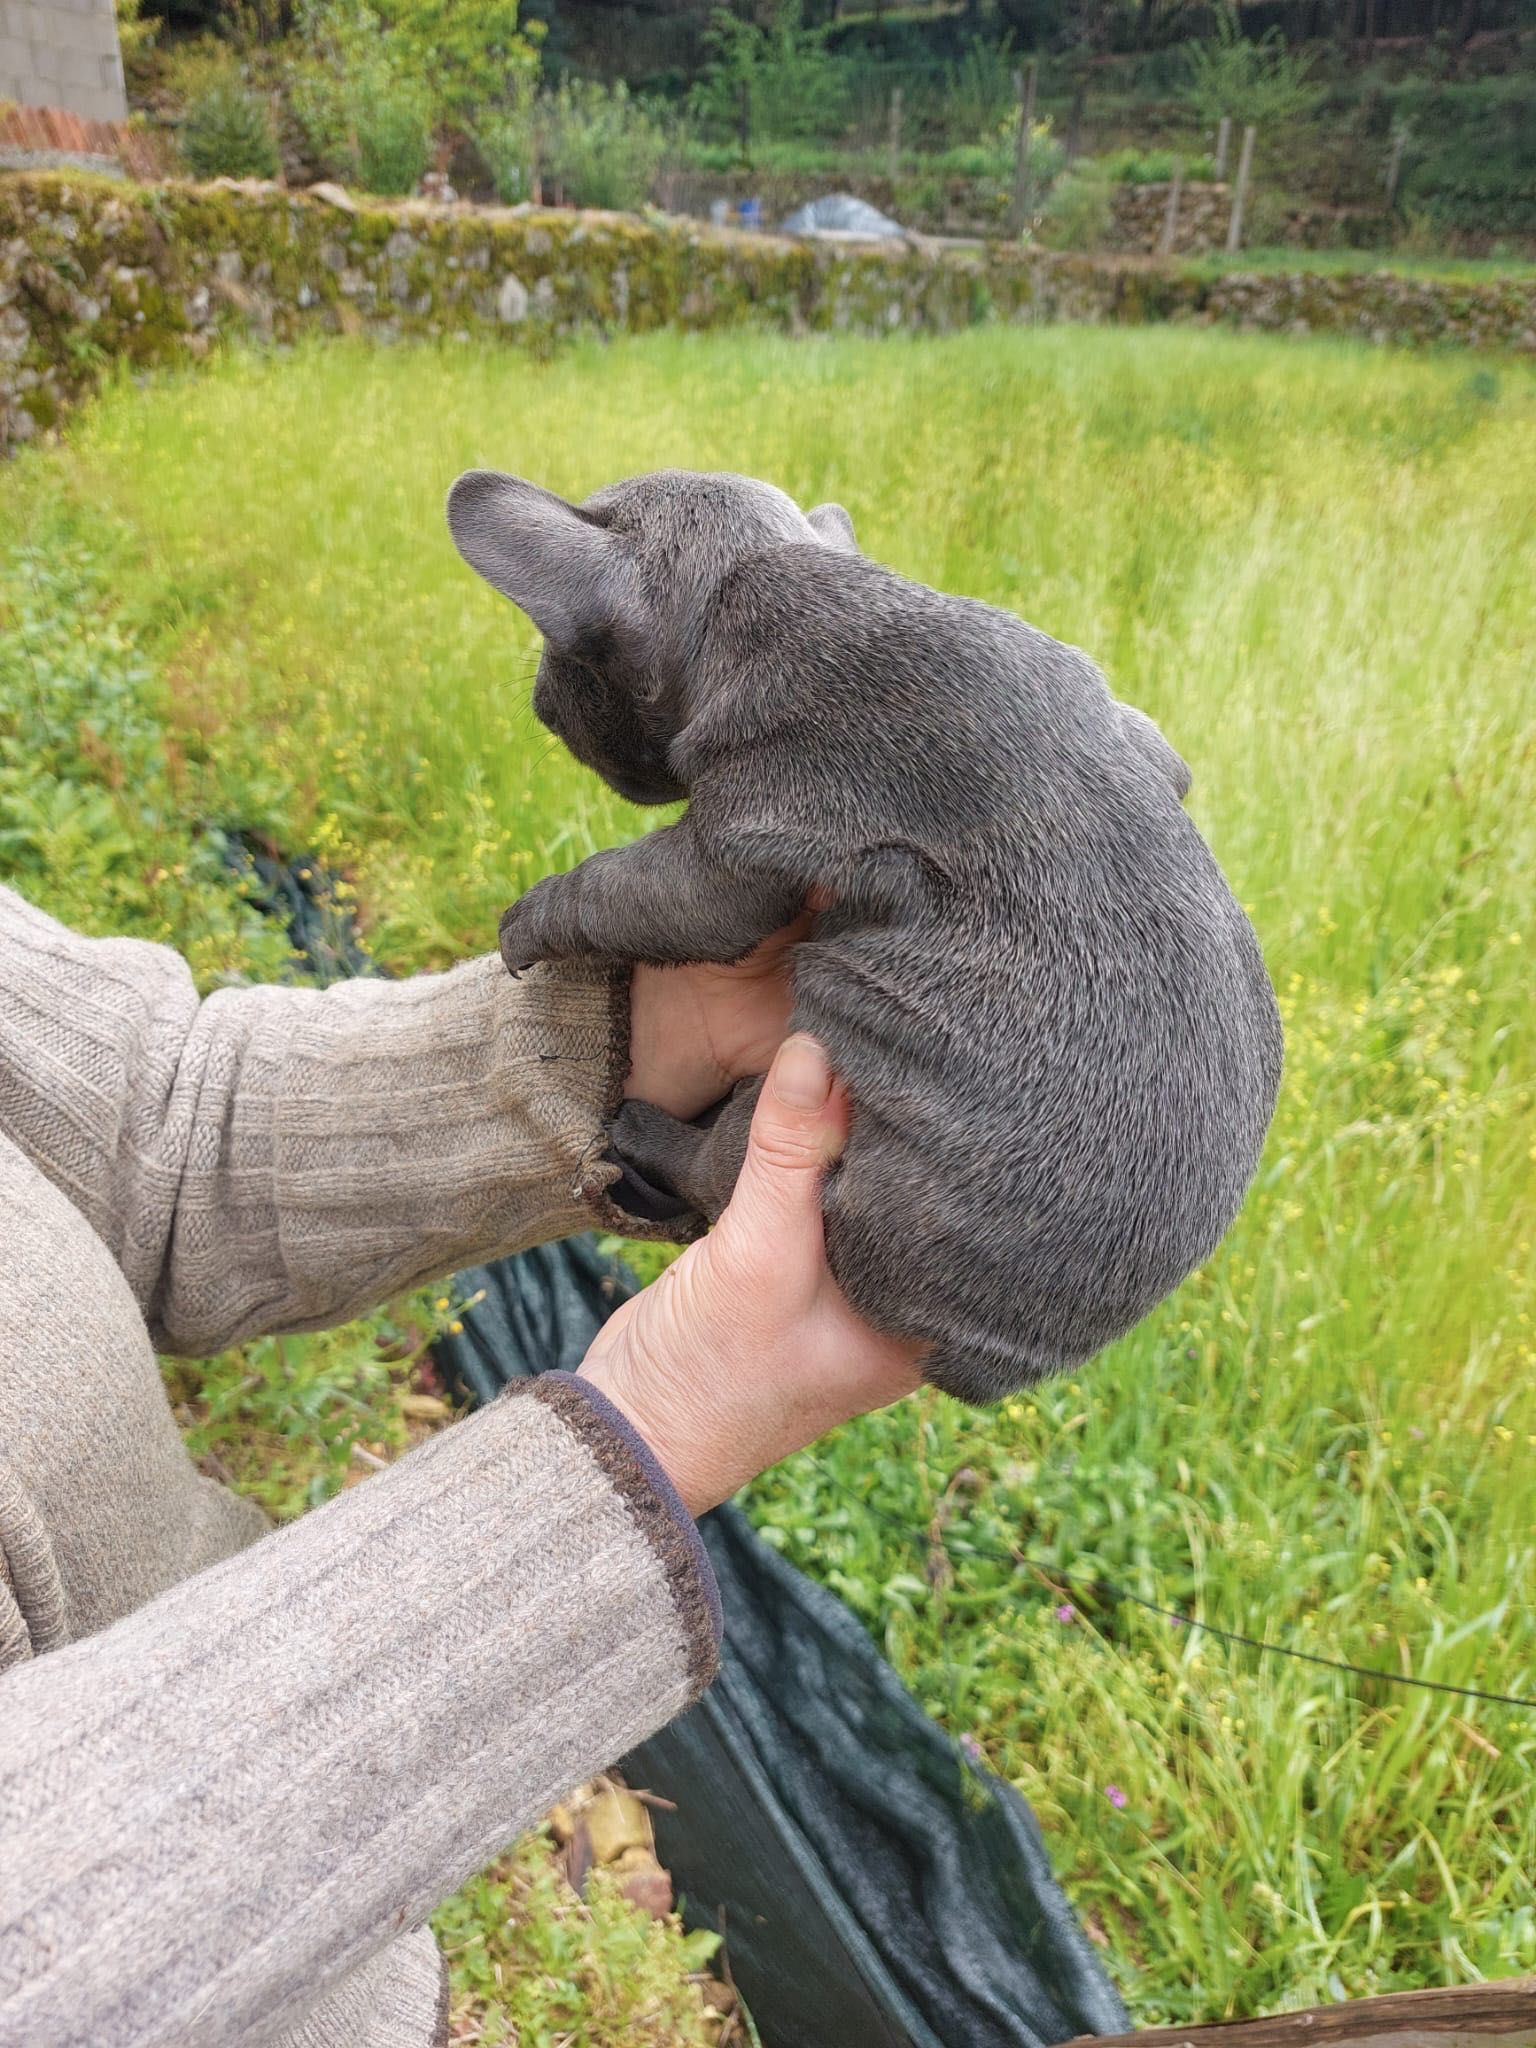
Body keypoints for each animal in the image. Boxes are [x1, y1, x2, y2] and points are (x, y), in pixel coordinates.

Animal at [448, 466, 1286, 1400]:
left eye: (569, 660)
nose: (539, 700)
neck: (749, 582)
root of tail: (994, 1363)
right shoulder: (1144, 738)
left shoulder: (744, 832)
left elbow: (622, 887)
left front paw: (532, 917)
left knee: (715, 1170)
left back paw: (640, 1133)